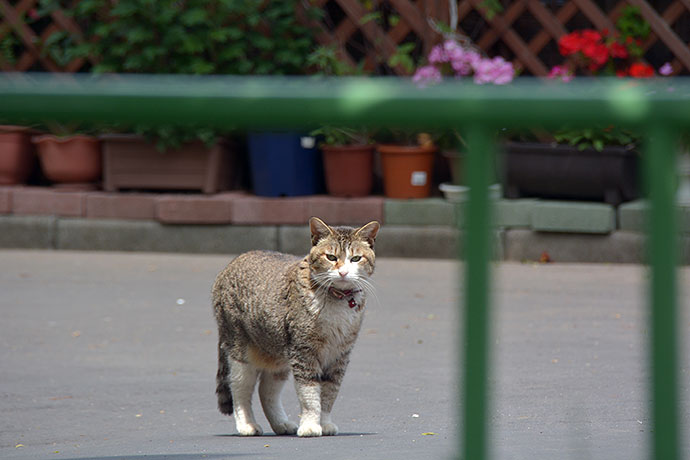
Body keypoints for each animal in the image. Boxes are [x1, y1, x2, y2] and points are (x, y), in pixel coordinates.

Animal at [212, 217, 378, 436]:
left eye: (356, 258)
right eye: (331, 257)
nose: (343, 272)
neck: (337, 301)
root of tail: (231, 263)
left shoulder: (339, 355)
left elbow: (329, 393)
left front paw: (324, 423)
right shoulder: (304, 350)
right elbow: (309, 394)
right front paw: (310, 425)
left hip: (277, 352)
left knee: (267, 390)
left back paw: (281, 424)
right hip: (239, 349)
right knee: (239, 389)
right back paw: (247, 425)